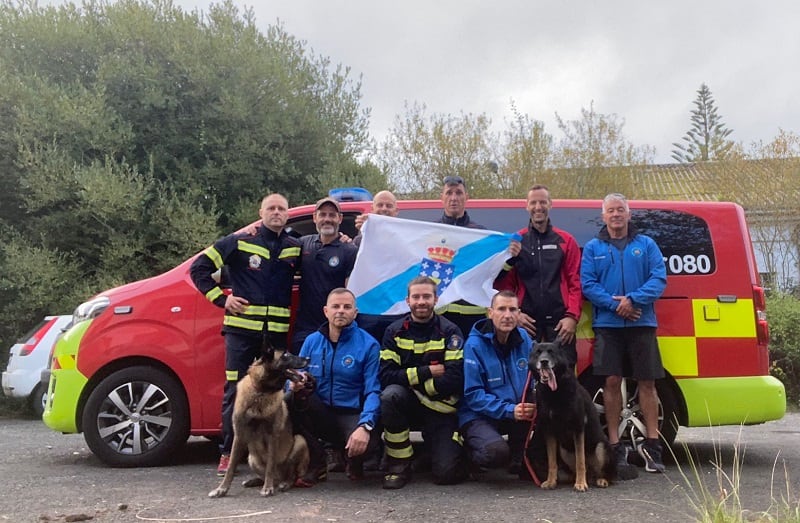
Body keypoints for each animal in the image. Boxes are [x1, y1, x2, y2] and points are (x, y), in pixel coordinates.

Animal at [208, 350, 310, 498]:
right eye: (285, 355)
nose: (308, 358)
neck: (260, 393)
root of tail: (278, 478)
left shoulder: (272, 436)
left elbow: (270, 465)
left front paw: (267, 488)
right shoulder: (239, 436)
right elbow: (231, 466)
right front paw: (222, 489)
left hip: (300, 441)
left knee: (291, 475)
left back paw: (283, 483)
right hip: (252, 458)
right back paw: (254, 481)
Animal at [528, 344, 616, 492]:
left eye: (551, 352)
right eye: (537, 353)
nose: (544, 361)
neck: (554, 392)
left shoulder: (578, 428)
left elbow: (580, 461)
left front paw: (580, 484)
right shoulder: (549, 431)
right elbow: (552, 462)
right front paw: (551, 481)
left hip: (601, 447)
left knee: (605, 472)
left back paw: (601, 480)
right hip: (564, 451)